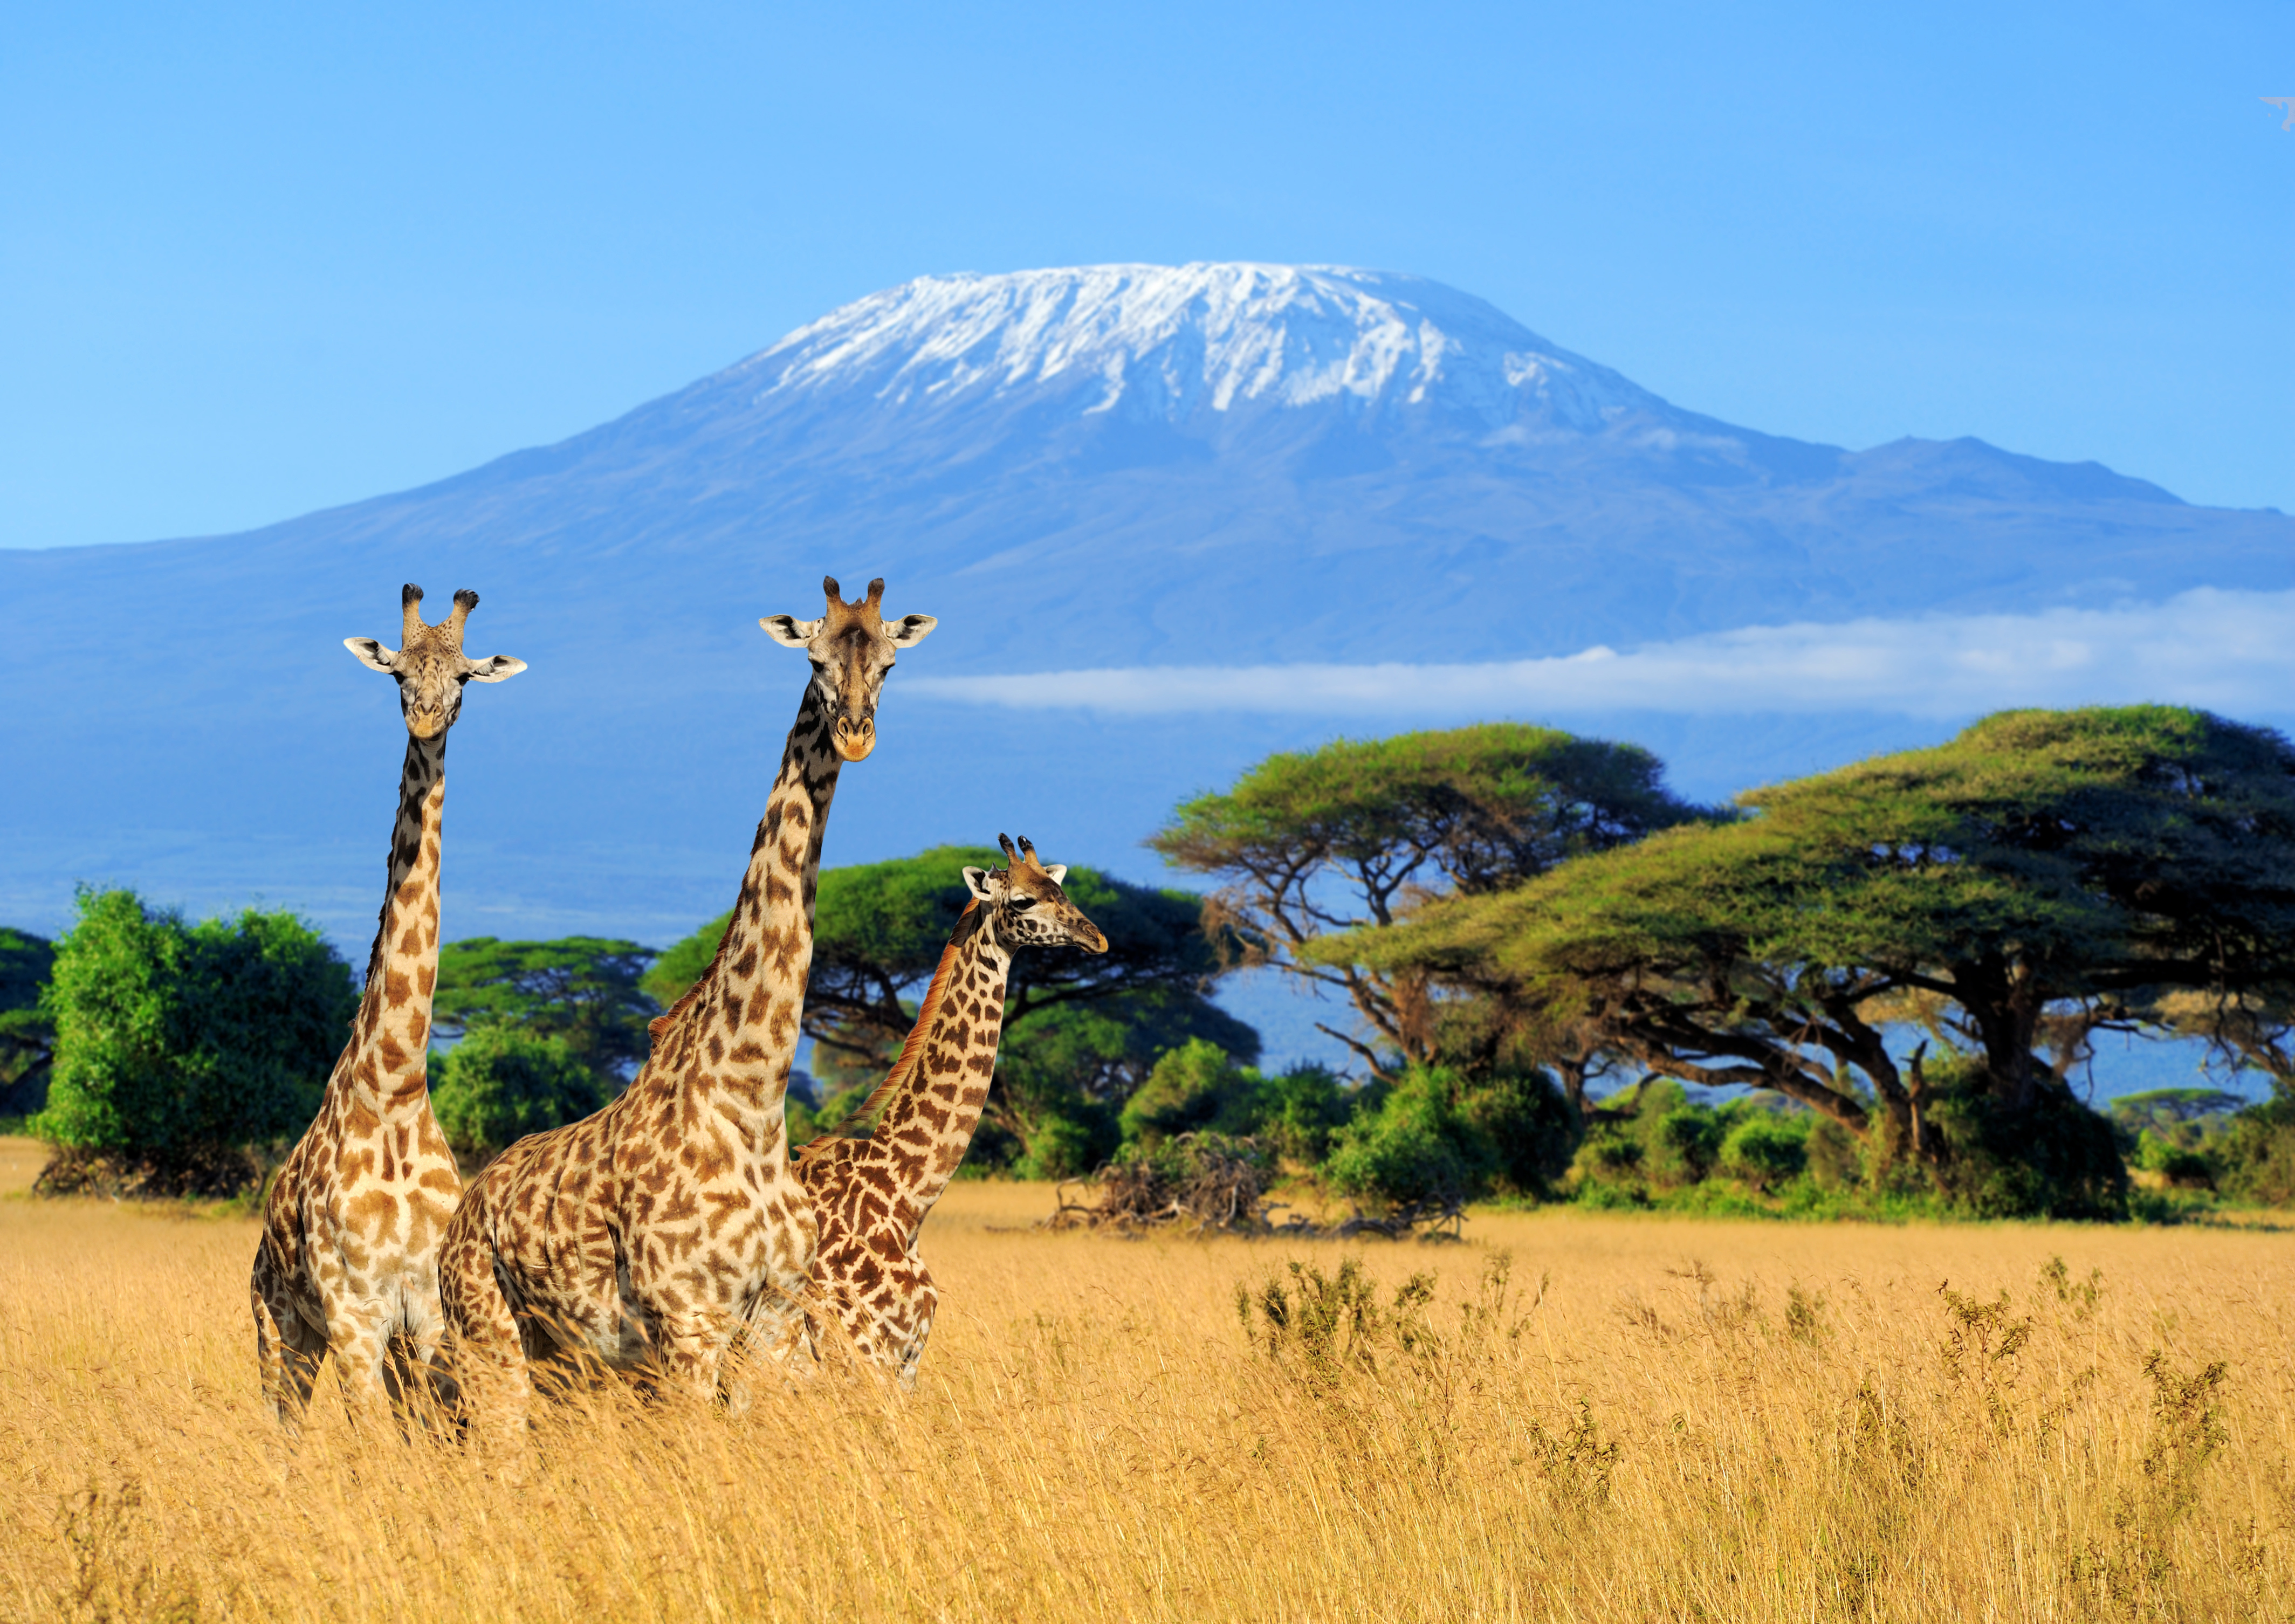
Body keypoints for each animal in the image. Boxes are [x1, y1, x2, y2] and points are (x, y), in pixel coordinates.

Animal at [250, 584, 526, 1433]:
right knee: (284, 1427)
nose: (427, 718)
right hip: (280, 1328)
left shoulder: (427, 1314)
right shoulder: (353, 1315)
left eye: (465, 676)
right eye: (398, 672)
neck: (397, 1085)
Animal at [439, 576, 935, 1440]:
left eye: (890, 662)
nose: (855, 735)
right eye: (814, 658)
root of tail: (459, 1221)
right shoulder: (689, 1324)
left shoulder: (771, 1323)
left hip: (565, 1361)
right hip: (489, 1339)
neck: (752, 1100)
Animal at [791, 835, 1106, 1386]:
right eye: (1023, 900)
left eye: (1062, 890)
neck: (906, 1197)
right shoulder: (858, 1355)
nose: (1098, 939)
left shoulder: (906, 1360)